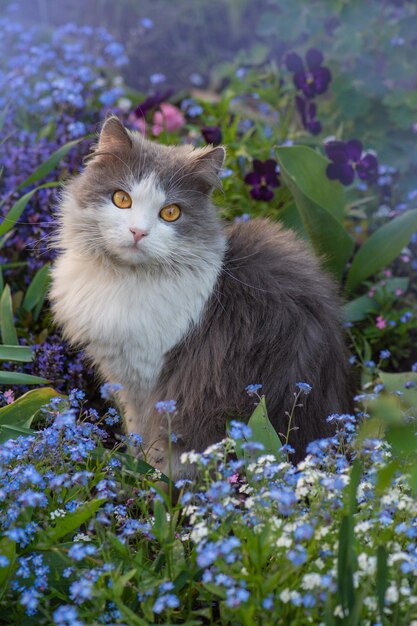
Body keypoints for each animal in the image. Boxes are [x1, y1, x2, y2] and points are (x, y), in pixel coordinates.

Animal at [50, 116, 352, 478]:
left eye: (171, 213)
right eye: (121, 199)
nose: (138, 232)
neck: (124, 279)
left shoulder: (144, 379)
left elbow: (142, 432)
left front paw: (141, 473)